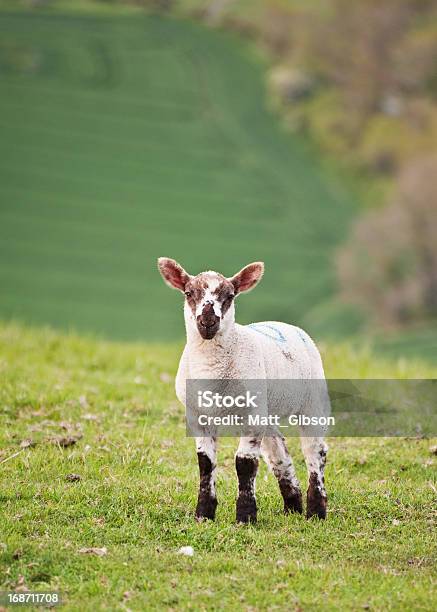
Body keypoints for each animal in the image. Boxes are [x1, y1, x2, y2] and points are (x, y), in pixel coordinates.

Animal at [157, 256, 328, 524]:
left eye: (230, 296)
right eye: (188, 293)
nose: (208, 322)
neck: (213, 374)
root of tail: (289, 326)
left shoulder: (251, 416)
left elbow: (244, 463)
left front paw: (245, 516)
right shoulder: (197, 416)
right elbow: (205, 463)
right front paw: (204, 514)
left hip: (312, 399)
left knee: (314, 450)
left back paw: (316, 511)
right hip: (266, 407)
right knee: (278, 451)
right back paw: (292, 505)